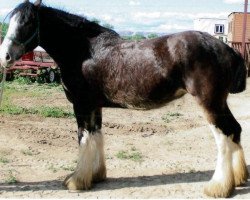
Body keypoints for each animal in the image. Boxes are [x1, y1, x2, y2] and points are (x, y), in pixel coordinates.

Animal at [0, 0, 248, 197]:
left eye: (28, 22)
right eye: (11, 21)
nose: (5, 56)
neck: (84, 52)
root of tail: (227, 49)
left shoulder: (82, 105)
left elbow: (83, 138)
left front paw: (76, 181)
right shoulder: (94, 106)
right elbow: (96, 136)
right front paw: (96, 175)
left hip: (209, 103)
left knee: (224, 137)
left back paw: (217, 187)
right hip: (220, 103)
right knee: (235, 130)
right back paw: (238, 179)